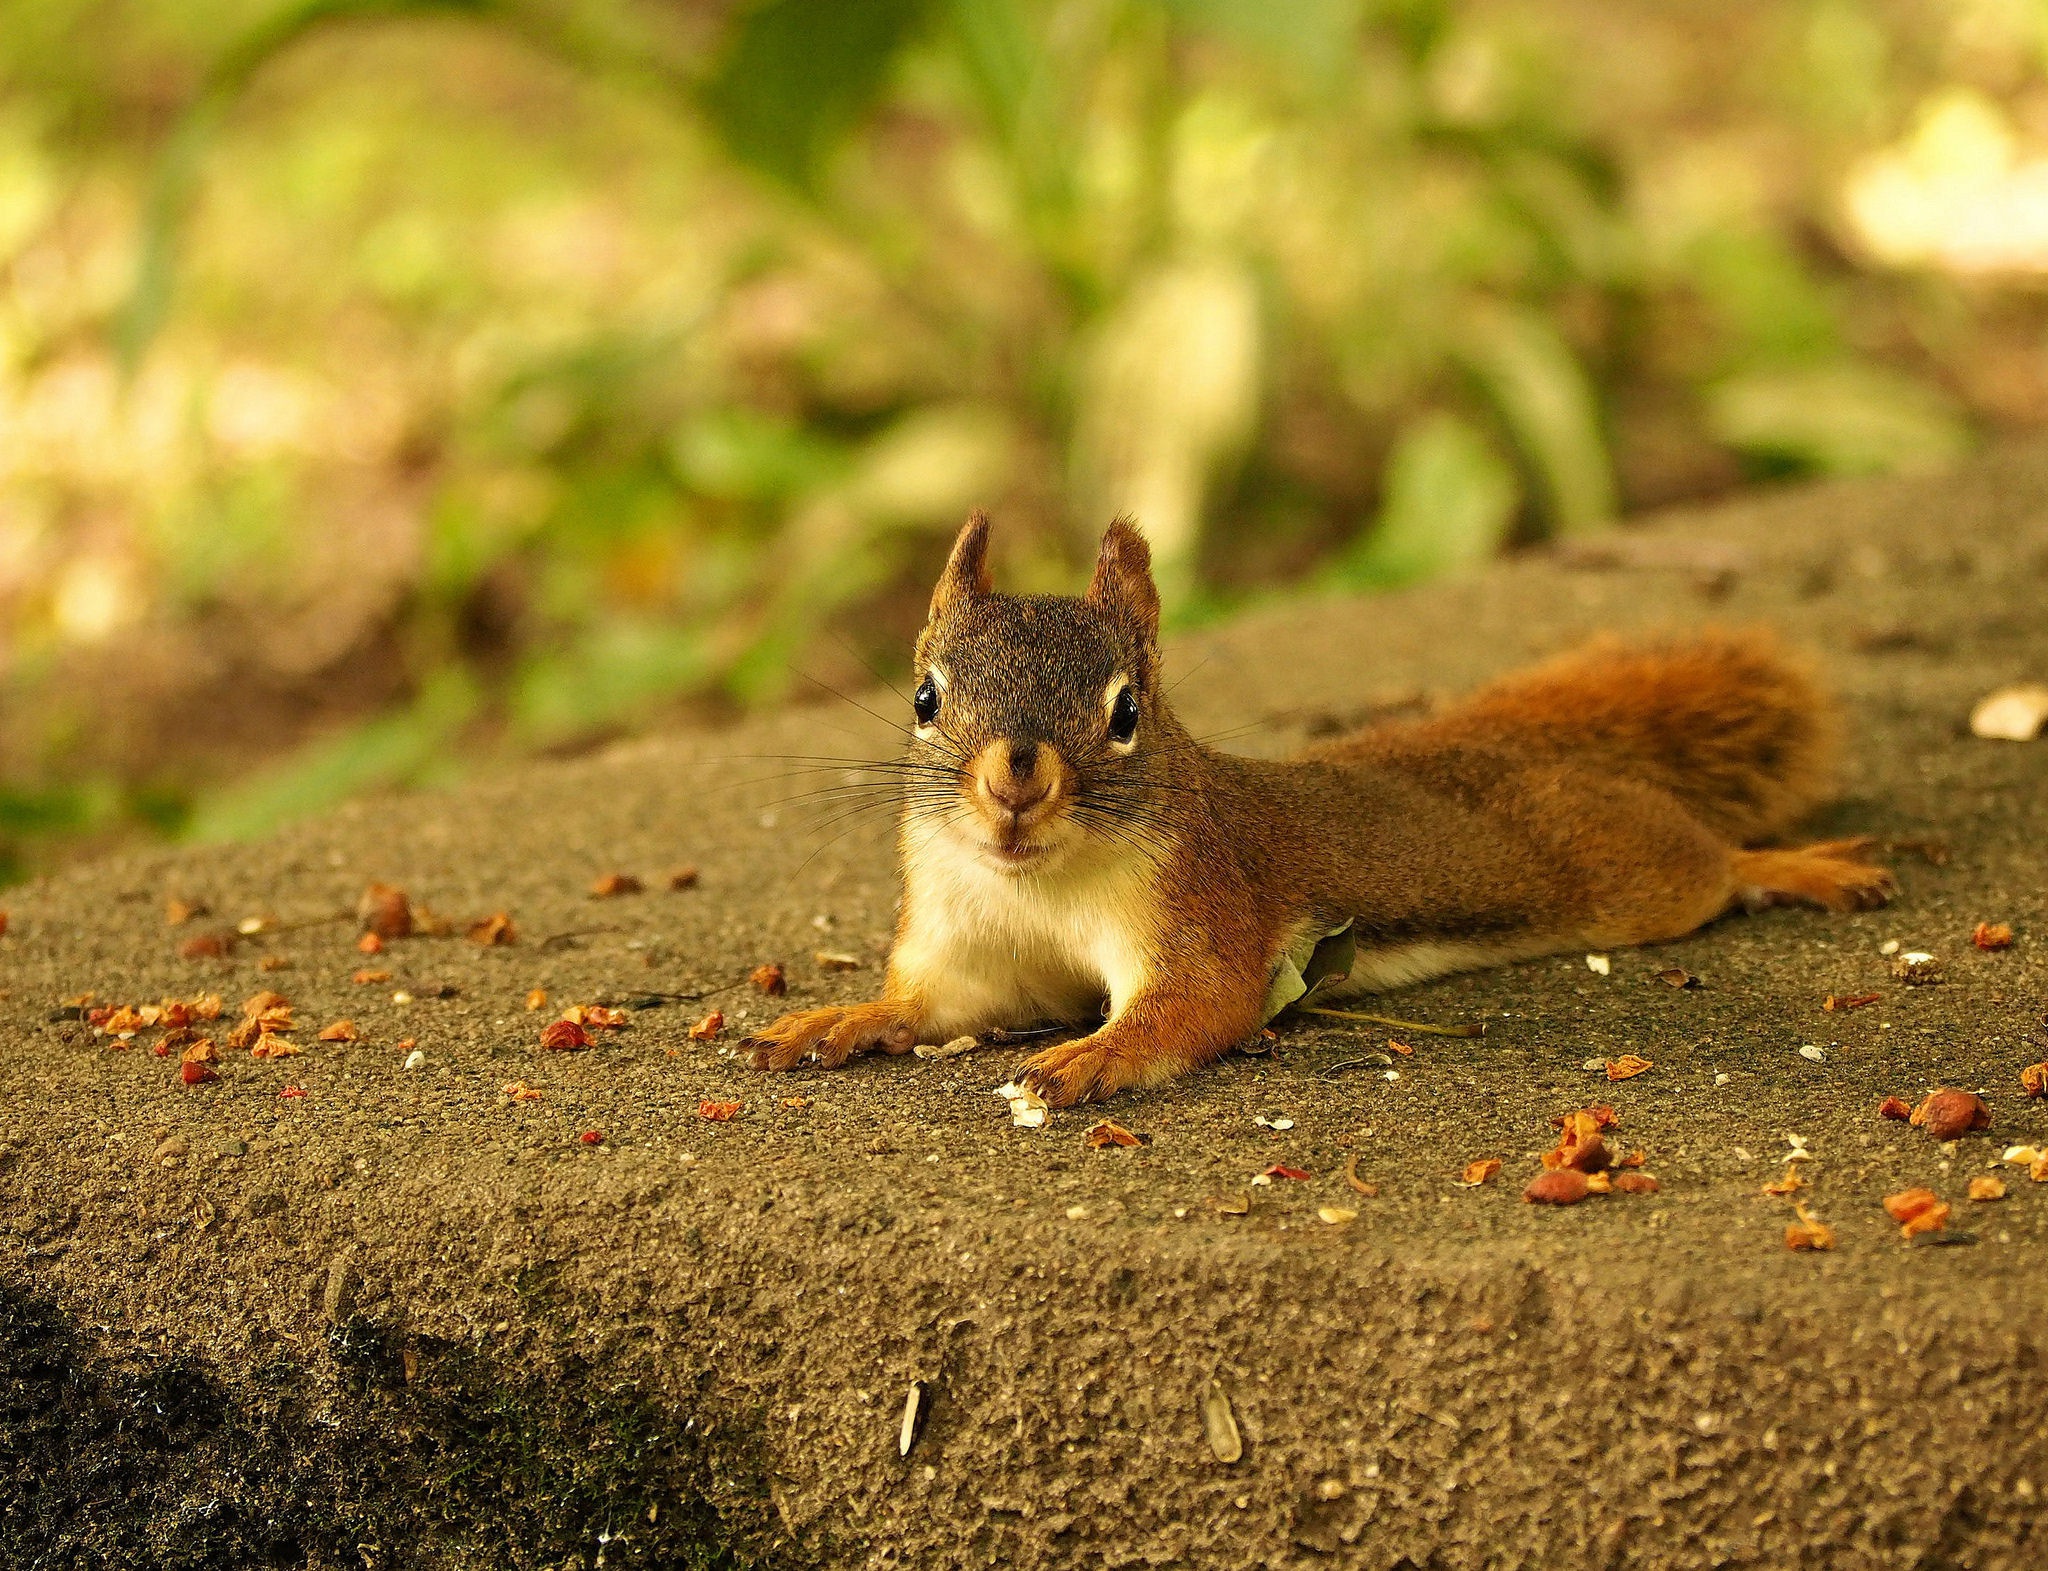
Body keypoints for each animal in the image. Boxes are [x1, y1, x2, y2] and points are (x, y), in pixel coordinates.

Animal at [745, 516, 1892, 1106]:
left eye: (1126, 712)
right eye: (923, 697)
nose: (1013, 781)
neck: (1037, 884)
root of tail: (1502, 747)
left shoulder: (1199, 908)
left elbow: (1190, 1008)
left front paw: (1087, 1056)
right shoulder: (964, 945)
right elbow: (925, 1006)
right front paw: (840, 1018)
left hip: (1633, 871)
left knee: (1713, 864)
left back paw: (1802, 866)